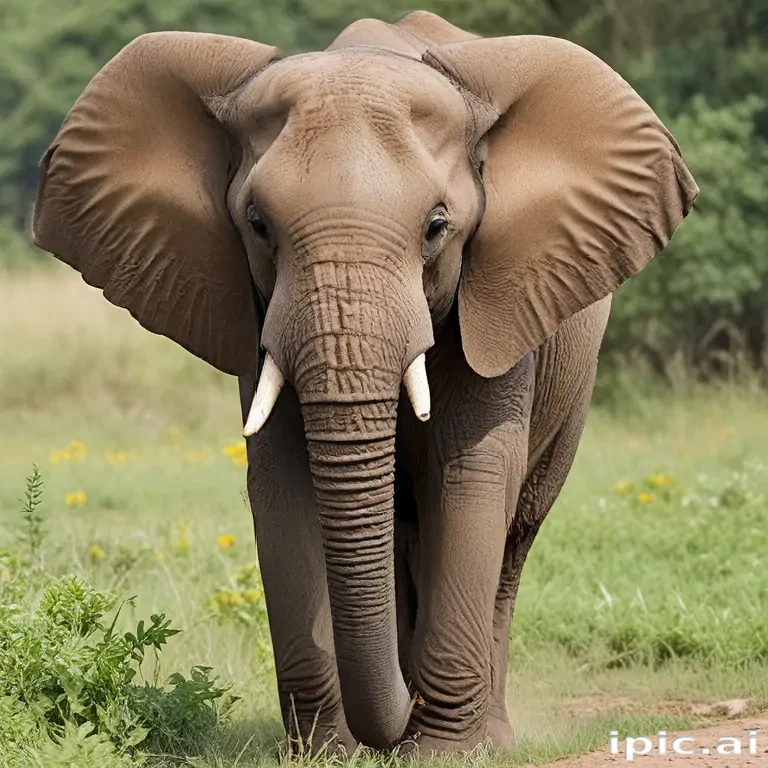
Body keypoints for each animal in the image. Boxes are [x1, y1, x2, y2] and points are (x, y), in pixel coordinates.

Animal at [32, 10, 698, 757]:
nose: (399, 723)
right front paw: (327, 752)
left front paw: (443, 754)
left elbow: (471, 475)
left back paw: (489, 734)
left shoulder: (494, 298)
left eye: (437, 227)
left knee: (513, 539)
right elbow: (283, 482)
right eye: (257, 224)